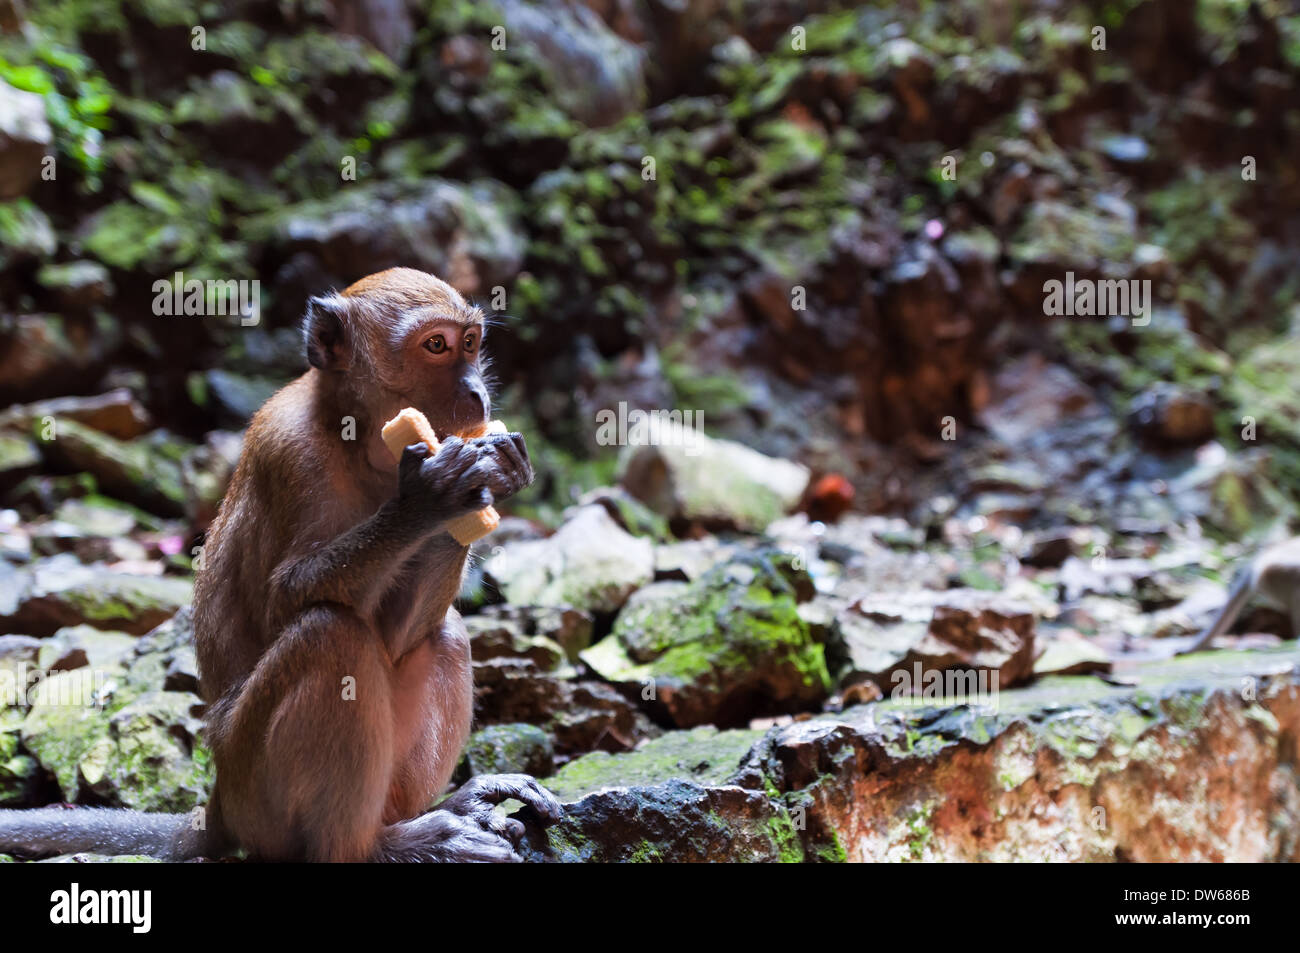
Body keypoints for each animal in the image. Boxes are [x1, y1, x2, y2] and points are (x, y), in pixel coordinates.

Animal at [3, 267, 564, 863]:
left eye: (472, 344)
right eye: (436, 346)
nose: (477, 393)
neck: (357, 437)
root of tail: (219, 803)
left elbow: (398, 636)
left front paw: (490, 475)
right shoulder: (289, 449)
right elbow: (285, 600)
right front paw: (431, 498)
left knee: (444, 633)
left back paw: (443, 809)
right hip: (258, 794)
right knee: (329, 632)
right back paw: (382, 845)